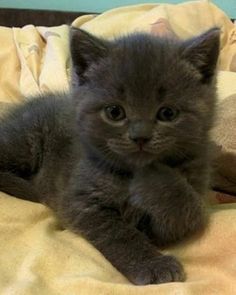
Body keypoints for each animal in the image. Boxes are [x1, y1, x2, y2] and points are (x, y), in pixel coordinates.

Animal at [0, 27, 219, 286]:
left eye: (168, 113)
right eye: (114, 112)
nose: (140, 136)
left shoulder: (196, 186)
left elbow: (188, 213)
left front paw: (154, 178)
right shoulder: (82, 201)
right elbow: (119, 233)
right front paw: (153, 264)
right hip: (24, 142)